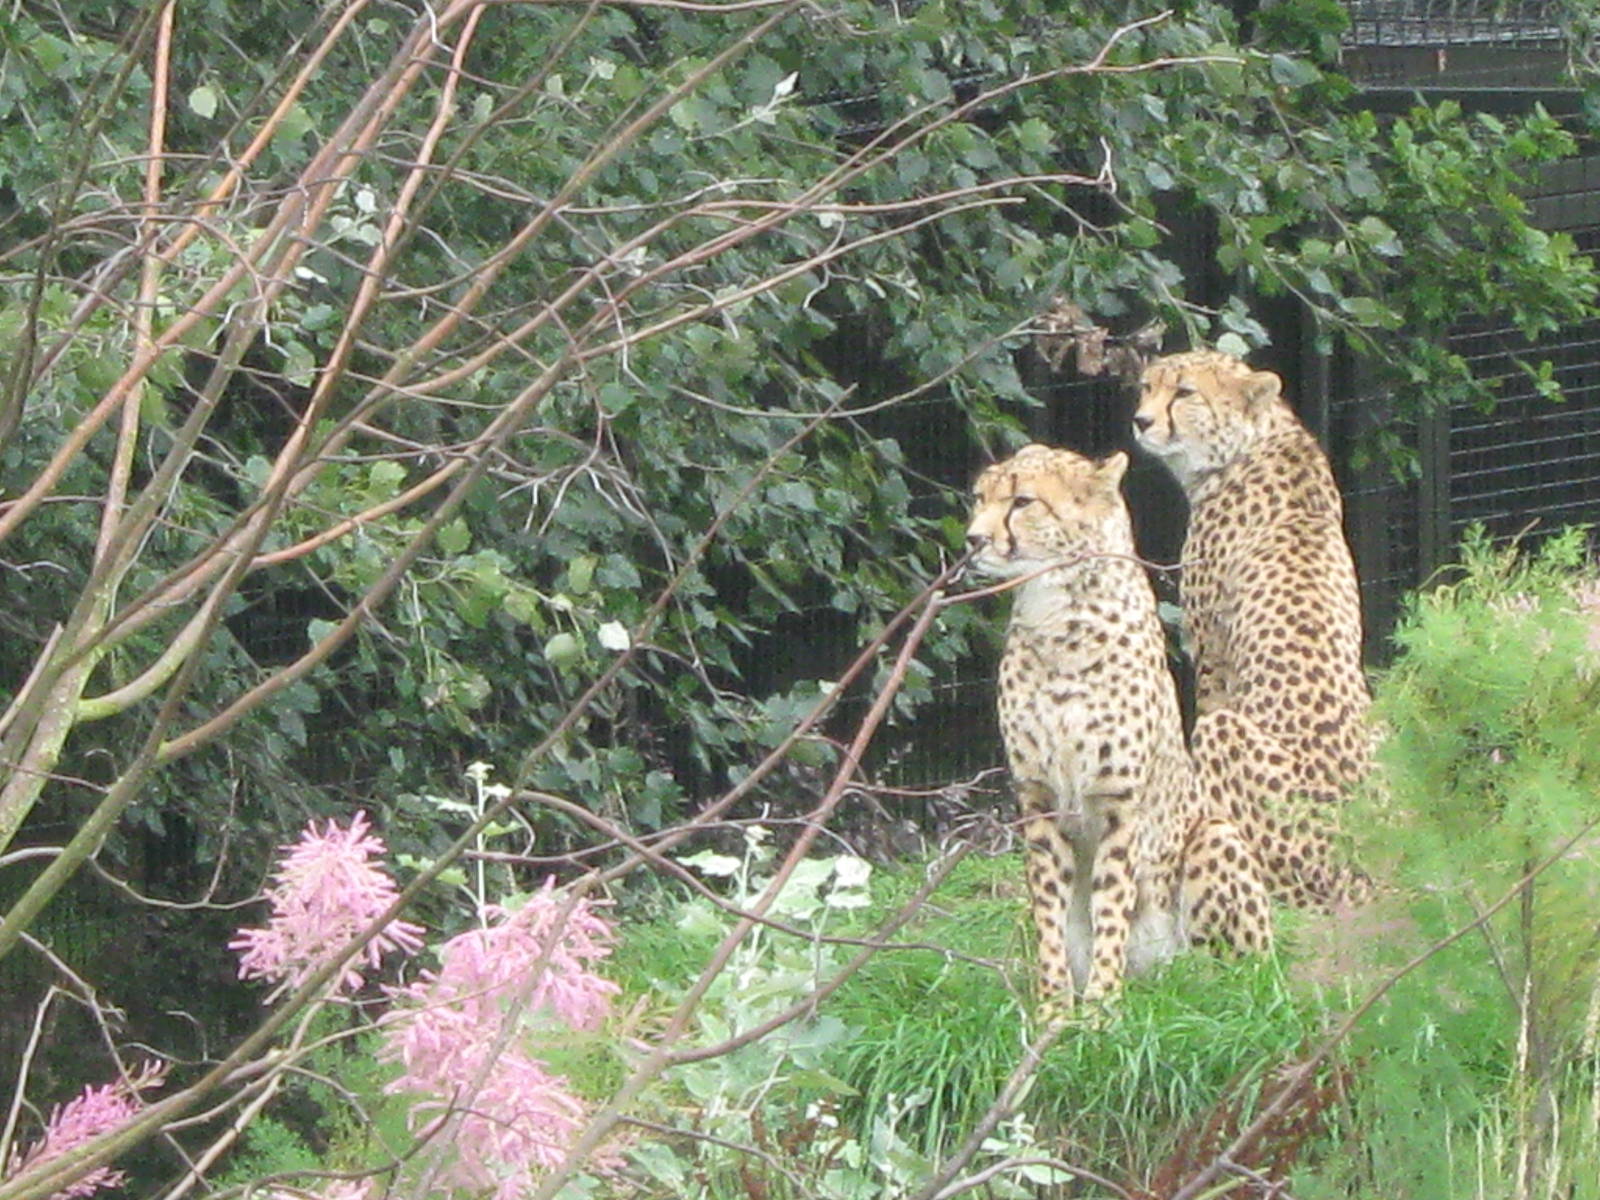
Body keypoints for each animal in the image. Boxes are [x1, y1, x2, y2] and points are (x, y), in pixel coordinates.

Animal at [965, 444, 1272, 1010]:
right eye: (980, 498)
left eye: (1022, 502)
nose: (973, 540)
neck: (1056, 614)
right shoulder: (1038, 799)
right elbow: (1052, 913)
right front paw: (1054, 1007)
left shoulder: (1118, 802)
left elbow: (1110, 905)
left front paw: (1102, 1007)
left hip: (1216, 837)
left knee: (1244, 975)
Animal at [1132, 349, 1374, 908]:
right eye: (1147, 387)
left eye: (1185, 393)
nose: (1142, 421)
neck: (1251, 442)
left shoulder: (1212, 654)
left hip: (1232, 743)